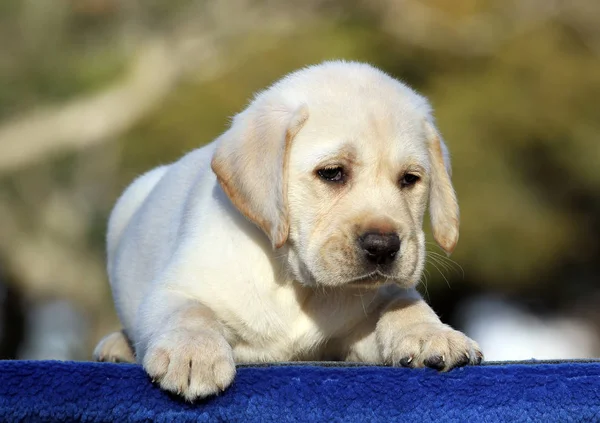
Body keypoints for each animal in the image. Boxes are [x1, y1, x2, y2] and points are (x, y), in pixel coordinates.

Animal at [96, 60, 486, 400]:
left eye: (409, 180)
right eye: (332, 173)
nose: (383, 246)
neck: (297, 283)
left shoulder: (355, 333)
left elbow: (403, 301)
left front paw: (433, 334)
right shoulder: (175, 286)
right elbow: (189, 311)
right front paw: (194, 354)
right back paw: (116, 346)